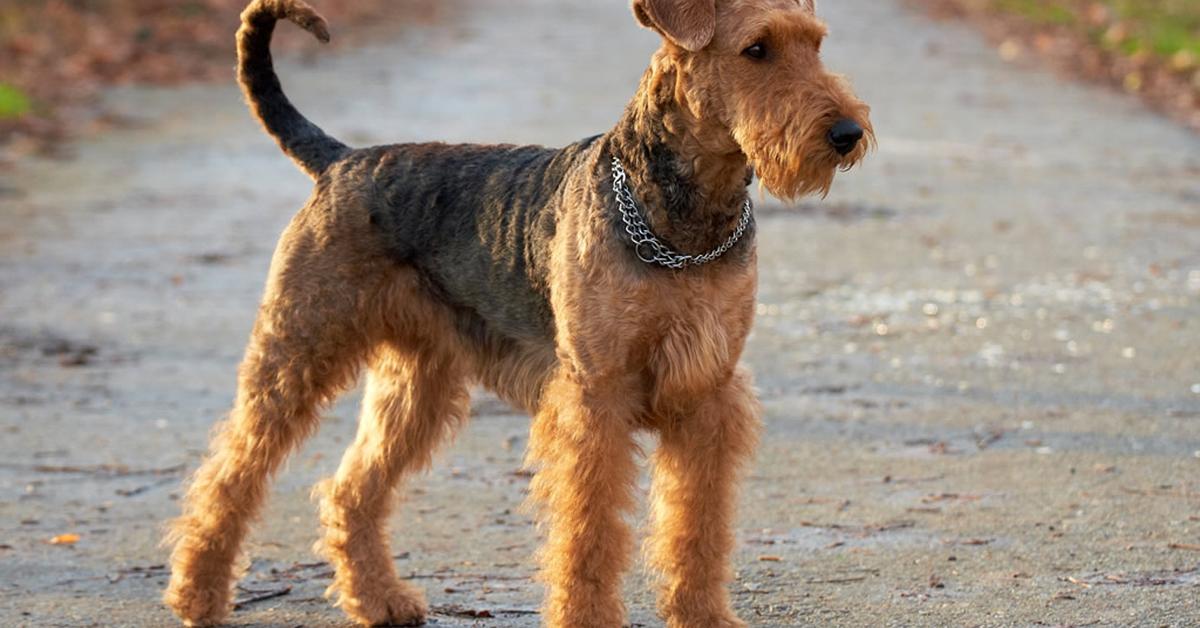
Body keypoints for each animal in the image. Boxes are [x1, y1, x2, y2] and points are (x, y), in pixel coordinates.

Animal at [162, 0, 873, 624]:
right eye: (756, 49)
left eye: (816, 43)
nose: (846, 134)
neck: (685, 228)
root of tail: (339, 159)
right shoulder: (595, 395)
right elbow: (588, 532)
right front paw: (585, 618)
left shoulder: (707, 393)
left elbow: (696, 529)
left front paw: (702, 616)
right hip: (296, 350)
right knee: (229, 474)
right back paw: (197, 595)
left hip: (415, 382)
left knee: (350, 489)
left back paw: (382, 601)